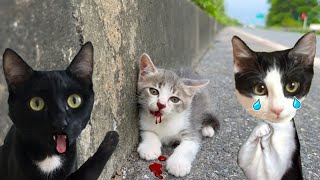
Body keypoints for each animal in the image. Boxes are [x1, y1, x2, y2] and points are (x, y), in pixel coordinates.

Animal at [232, 32, 316, 180]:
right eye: (260, 89)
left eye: (292, 86)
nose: (277, 109)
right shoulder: (248, 165)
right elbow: (243, 154)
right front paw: (262, 129)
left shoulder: (287, 166)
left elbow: (274, 161)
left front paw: (266, 135)